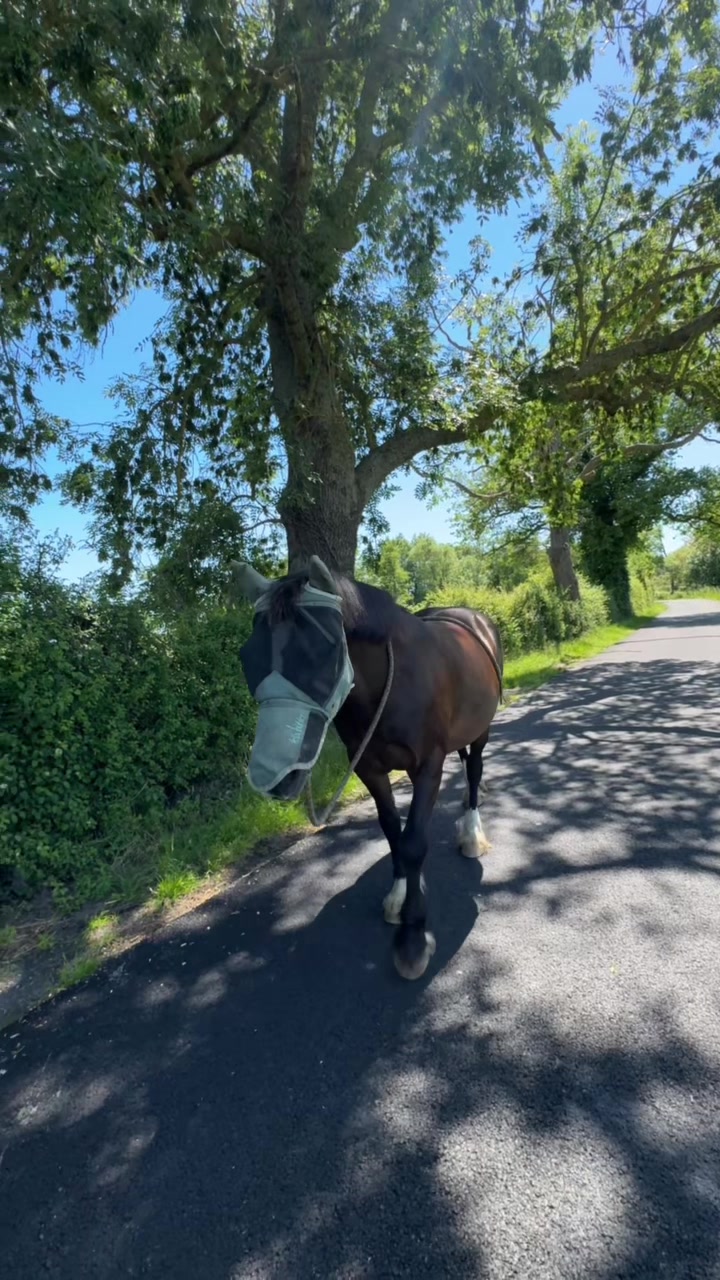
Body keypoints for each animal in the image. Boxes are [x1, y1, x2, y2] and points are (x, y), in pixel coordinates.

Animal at [232, 554, 503, 981]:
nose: (271, 776)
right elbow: (393, 832)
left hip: (480, 732)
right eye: (248, 656)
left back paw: (472, 834)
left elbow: (413, 843)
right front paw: (398, 897)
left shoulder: (429, 766)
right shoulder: (369, 770)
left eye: (321, 653)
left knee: (474, 772)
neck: (392, 684)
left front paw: (412, 940)